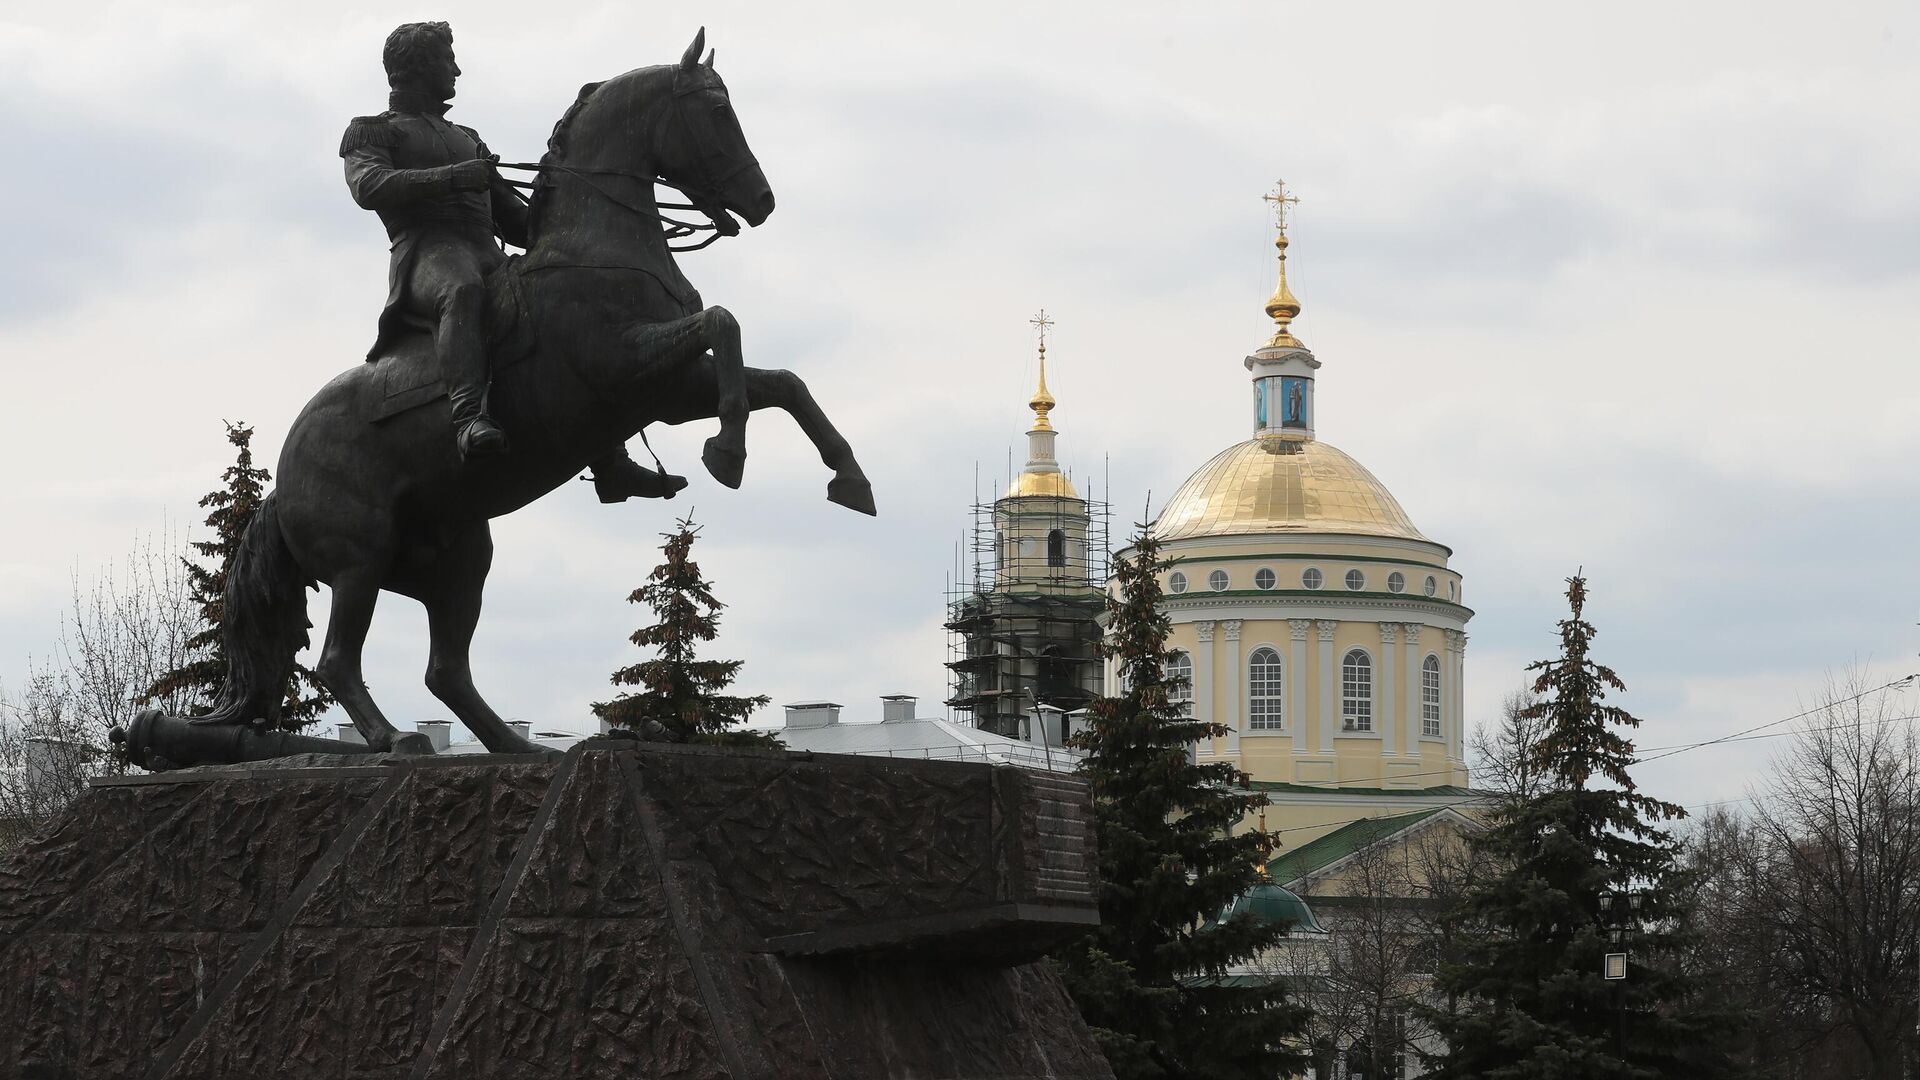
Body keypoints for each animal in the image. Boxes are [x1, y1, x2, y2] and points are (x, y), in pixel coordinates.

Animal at [183, 35, 875, 757]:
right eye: (716, 110)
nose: (761, 200)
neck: (598, 247)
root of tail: (279, 482)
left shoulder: (670, 390)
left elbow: (782, 381)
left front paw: (848, 479)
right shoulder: (628, 367)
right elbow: (724, 322)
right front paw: (729, 454)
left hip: (461, 559)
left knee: (446, 670)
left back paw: (520, 748)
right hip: (360, 560)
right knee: (339, 660)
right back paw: (395, 739)